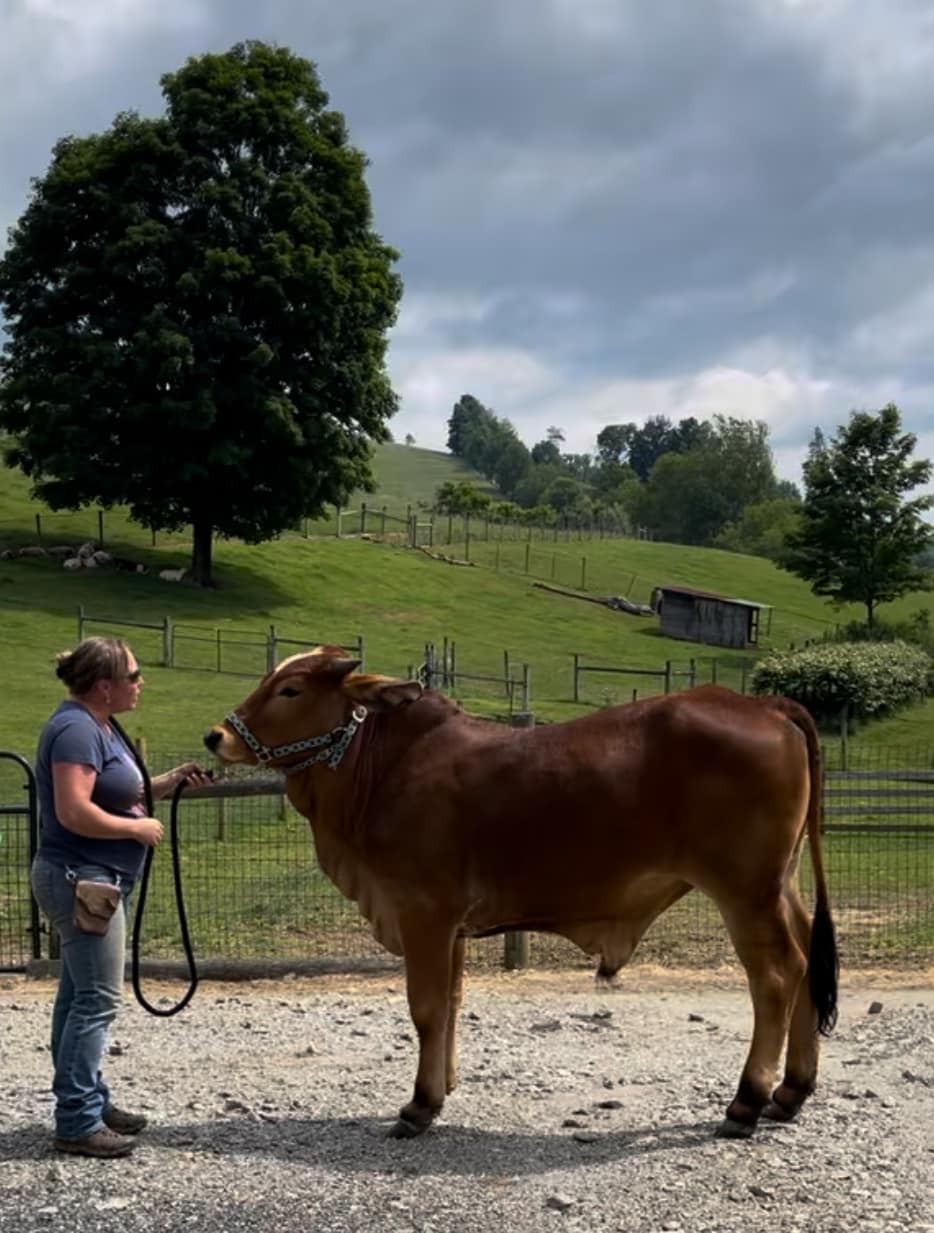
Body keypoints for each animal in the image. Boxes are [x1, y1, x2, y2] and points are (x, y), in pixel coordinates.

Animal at [207, 651, 842, 1139]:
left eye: (289, 688)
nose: (216, 736)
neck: (384, 766)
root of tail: (765, 705)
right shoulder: (452, 927)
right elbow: (452, 1003)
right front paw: (443, 1086)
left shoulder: (423, 913)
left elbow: (427, 1008)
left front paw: (419, 1104)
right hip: (779, 886)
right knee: (809, 958)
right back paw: (792, 1090)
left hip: (744, 892)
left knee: (778, 974)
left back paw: (748, 1100)